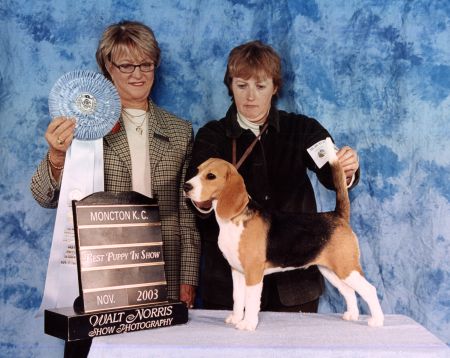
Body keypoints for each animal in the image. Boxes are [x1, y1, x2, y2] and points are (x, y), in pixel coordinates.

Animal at [185, 138, 384, 332]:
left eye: (211, 176)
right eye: (197, 170)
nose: (186, 186)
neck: (235, 219)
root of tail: (338, 215)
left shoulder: (253, 272)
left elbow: (251, 301)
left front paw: (248, 324)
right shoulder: (237, 271)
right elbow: (238, 299)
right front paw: (235, 318)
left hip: (346, 267)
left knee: (370, 290)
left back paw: (377, 320)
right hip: (332, 270)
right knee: (349, 291)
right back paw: (352, 315)